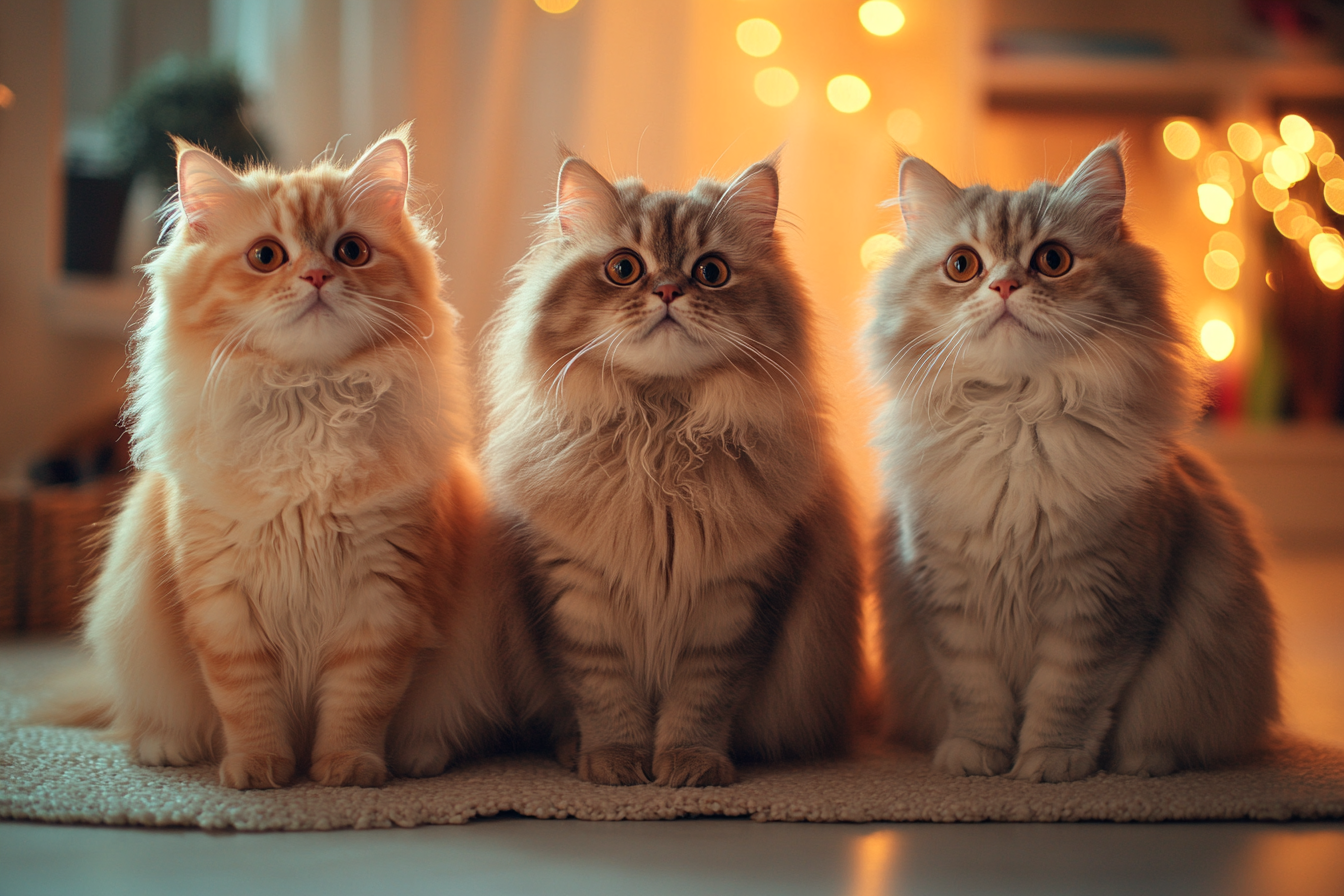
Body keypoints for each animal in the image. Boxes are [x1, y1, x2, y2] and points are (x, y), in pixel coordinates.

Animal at [47, 129, 489, 789]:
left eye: (351, 251)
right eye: (265, 256)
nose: (317, 276)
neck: (309, 404)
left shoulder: (384, 598)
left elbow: (359, 701)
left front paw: (346, 770)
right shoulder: (223, 602)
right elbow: (247, 703)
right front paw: (259, 770)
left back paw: (418, 757)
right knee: (144, 719)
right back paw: (165, 747)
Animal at [870, 141, 1279, 784]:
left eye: (1053, 260)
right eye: (962, 266)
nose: (1005, 286)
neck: (1015, 419)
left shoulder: (1101, 601)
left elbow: (1069, 695)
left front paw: (1049, 763)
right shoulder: (949, 603)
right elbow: (975, 693)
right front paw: (978, 757)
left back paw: (1143, 764)